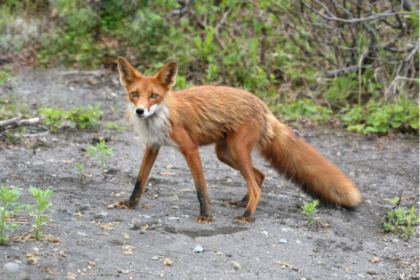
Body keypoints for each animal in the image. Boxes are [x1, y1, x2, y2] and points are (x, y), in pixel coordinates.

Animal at [109, 57, 364, 223]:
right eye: (134, 94)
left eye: (154, 96)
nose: (140, 111)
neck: (160, 117)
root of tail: (262, 105)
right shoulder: (152, 146)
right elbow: (139, 181)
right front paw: (130, 204)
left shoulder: (190, 148)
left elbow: (201, 187)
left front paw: (206, 216)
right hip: (225, 153)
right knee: (259, 176)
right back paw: (243, 203)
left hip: (236, 149)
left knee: (256, 185)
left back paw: (248, 216)